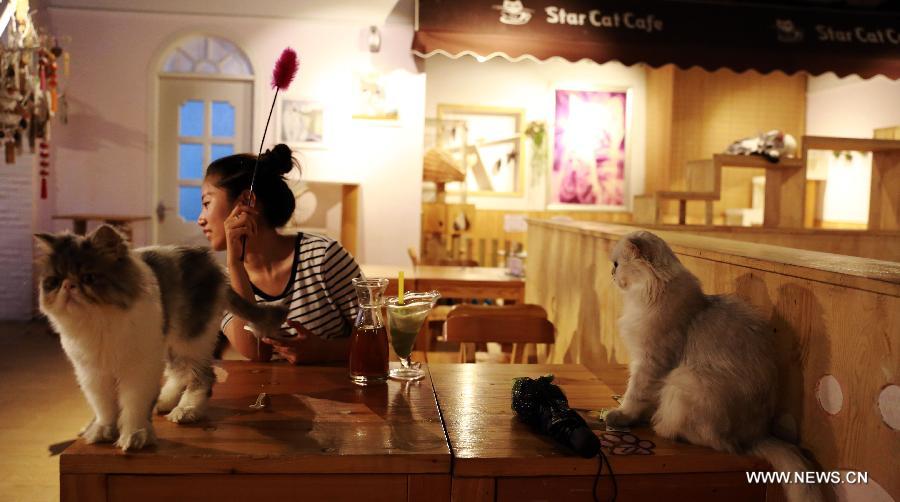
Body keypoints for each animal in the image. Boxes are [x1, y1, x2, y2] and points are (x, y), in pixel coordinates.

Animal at [35, 227, 286, 452]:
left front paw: (135, 435)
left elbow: (134, 404)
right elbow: (104, 406)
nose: (68, 285)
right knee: (178, 373)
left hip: (190, 339)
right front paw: (102, 430)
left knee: (202, 377)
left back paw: (186, 410)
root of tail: (212, 265)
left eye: (88, 277)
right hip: (171, 342)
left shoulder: (139, 369)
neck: (99, 324)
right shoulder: (92, 373)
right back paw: (164, 402)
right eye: (54, 281)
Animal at [604, 231, 824, 502]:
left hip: (684, 379)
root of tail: (757, 435)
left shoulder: (651, 362)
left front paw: (621, 415)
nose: (610, 273)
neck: (652, 294)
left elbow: (634, 396)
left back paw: (661, 426)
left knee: (716, 443)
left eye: (617, 264)